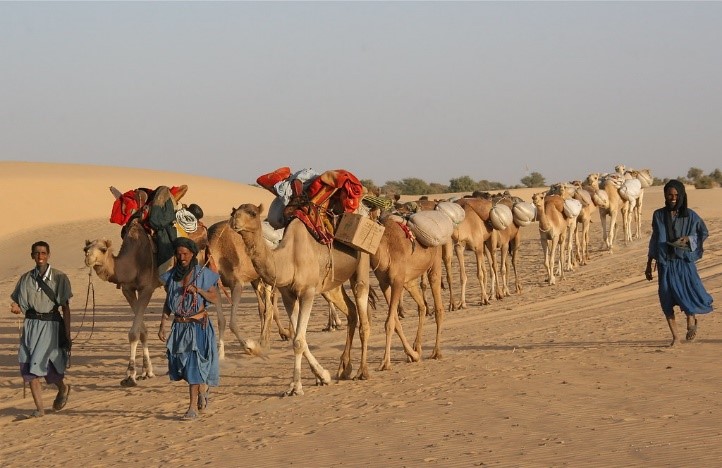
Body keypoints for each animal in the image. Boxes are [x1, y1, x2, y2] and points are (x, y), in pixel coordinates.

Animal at [228, 204, 372, 394]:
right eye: (234, 211)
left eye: (252, 213)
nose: (234, 221)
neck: (287, 260)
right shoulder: (288, 297)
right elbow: (300, 339)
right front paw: (322, 376)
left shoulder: (307, 293)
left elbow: (297, 341)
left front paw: (296, 387)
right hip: (332, 285)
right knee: (351, 311)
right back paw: (344, 368)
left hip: (362, 263)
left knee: (363, 315)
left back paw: (363, 372)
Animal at [372, 214, 444, 372]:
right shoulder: (384, 283)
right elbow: (395, 322)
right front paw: (413, 355)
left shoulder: (397, 281)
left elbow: (389, 323)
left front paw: (385, 362)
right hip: (409, 280)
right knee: (422, 306)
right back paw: (417, 347)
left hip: (434, 263)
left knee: (439, 308)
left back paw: (436, 352)